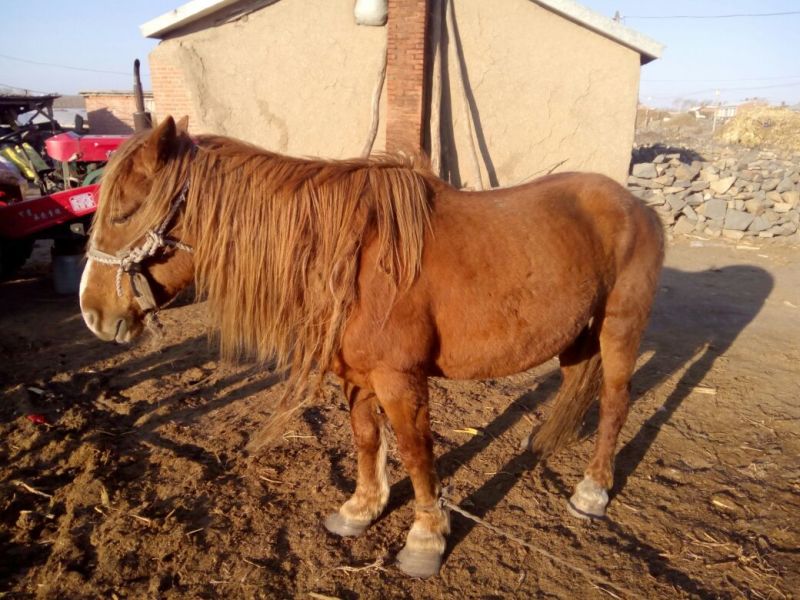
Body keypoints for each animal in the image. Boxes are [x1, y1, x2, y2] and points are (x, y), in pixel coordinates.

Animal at [79, 116, 664, 578]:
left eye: (125, 212)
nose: (92, 313)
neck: (353, 258)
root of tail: (636, 205)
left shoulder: (399, 378)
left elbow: (415, 452)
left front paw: (425, 538)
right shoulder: (356, 375)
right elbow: (365, 439)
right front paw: (361, 508)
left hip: (619, 327)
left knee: (614, 400)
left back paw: (592, 490)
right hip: (576, 332)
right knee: (576, 380)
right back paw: (543, 442)